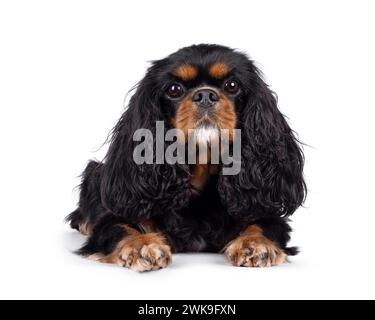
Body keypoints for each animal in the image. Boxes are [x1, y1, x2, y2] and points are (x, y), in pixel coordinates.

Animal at [67, 43, 306, 272]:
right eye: (174, 89)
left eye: (232, 85)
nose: (205, 95)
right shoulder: (120, 214)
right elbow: (119, 228)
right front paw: (142, 245)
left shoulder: (261, 210)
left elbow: (263, 226)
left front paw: (255, 244)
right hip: (95, 170)